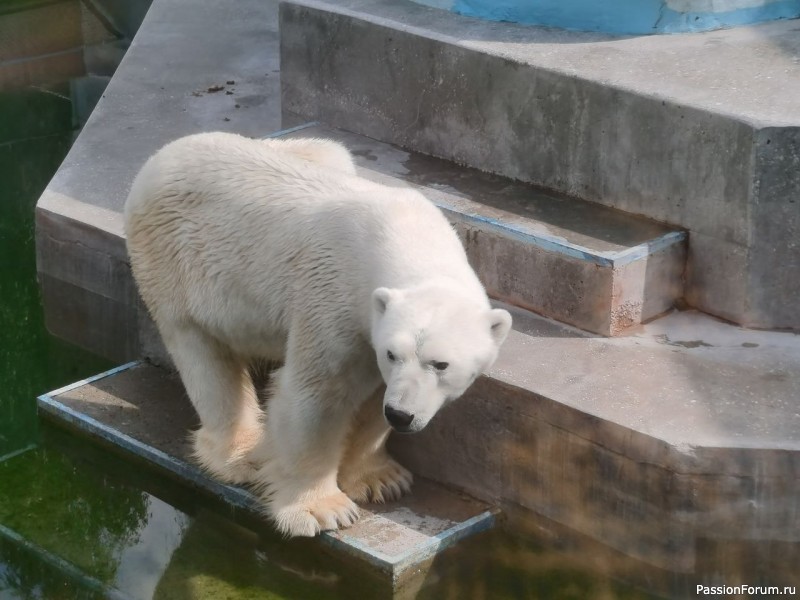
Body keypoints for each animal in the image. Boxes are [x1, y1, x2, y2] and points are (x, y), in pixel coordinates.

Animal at [125, 134, 512, 536]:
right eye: (394, 353)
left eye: (441, 364)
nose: (402, 416)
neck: (405, 235)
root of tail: (161, 156)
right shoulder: (333, 297)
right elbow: (317, 397)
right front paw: (322, 509)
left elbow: (373, 401)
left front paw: (383, 479)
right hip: (178, 264)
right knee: (204, 356)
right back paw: (243, 454)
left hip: (311, 153)